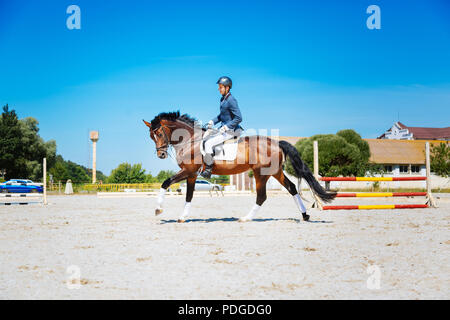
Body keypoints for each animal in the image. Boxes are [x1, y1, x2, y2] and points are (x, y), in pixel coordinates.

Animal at [142, 111, 336, 221]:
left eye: (160, 133)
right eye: (151, 137)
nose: (161, 154)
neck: (190, 140)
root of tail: (276, 142)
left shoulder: (189, 171)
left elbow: (166, 183)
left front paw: (158, 209)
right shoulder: (191, 175)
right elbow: (188, 195)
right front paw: (182, 217)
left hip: (261, 174)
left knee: (262, 196)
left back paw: (246, 218)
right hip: (275, 172)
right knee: (292, 188)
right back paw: (305, 215)